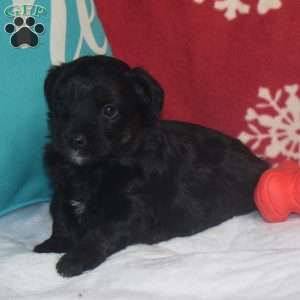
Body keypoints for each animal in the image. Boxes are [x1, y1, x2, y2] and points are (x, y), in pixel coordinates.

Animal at [34, 54, 268, 276]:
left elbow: (101, 232)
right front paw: (53, 245)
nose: (74, 140)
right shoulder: (62, 192)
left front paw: (75, 259)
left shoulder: (131, 210)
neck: (93, 169)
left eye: (109, 110)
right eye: (61, 104)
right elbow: (60, 217)